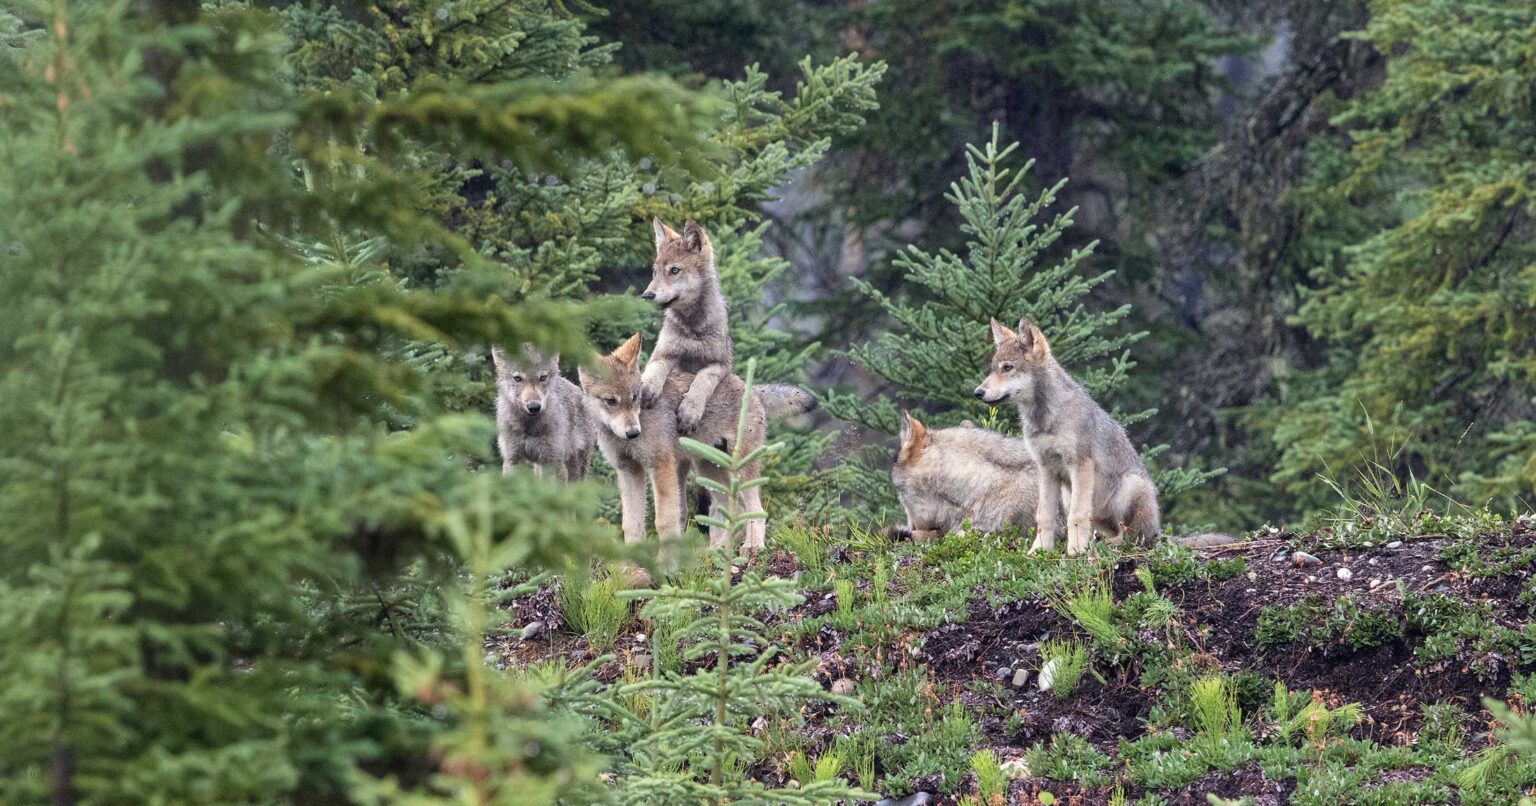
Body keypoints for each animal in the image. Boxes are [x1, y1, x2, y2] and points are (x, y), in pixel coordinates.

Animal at [491, 345, 593, 480]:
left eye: (543, 377)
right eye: (517, 378)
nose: (534, 407)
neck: (528, 427)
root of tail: (576, 388)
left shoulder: (553, 462)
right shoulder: (513, 459)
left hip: (574, 467)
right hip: (539, 466)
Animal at [579, 334, 815, 553]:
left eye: (635, 397)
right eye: (611, 401)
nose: (633, 433)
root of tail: (752, 389)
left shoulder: (661, 465)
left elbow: (664, 522)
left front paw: (666, 564)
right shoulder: (628, 470)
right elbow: (631, 525)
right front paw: (632, 566)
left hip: (740, 468)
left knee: (755, 510)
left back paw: (752, 547)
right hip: (709, 470)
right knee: (735, 510)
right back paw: (717, 550)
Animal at [640, 219, 736, 433]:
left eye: (674, 270)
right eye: (655, 272)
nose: (646, 295)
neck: (692, 327)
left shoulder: (721, 364)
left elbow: (703, 380)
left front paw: (690, 411)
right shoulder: (664, 354)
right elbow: (655, 369)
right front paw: (647, 386)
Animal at [973, 317, 1160, 555]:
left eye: (1007, 368)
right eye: (992, 369)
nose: (977, 392)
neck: (1044, 419)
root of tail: (1157, 529)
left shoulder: (1080, 465)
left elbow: (1076, 516)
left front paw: (1076, 552)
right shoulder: (1046, 469)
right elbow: (1044, 516)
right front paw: (1038, 551)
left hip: (1130, 486)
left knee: (1132, 536)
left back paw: (1109, 545)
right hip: (1069, 495)